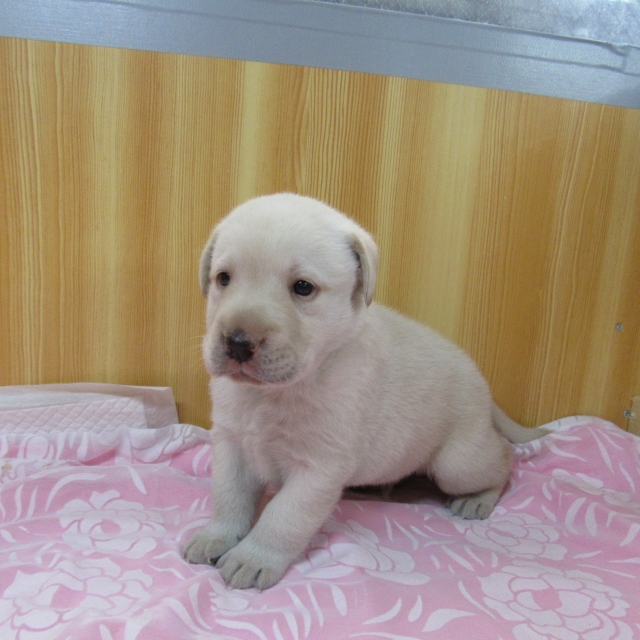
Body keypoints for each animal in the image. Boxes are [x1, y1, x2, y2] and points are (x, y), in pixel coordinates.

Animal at [183, 193, 547, 590]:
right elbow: (228, 497)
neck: (273, 394)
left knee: (502, 460)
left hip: (458, 461)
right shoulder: (231, 443)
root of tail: (480, 380)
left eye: (303, 287)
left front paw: (253, 557)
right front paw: (215, 537)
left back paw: (478, 498)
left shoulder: (319, 466)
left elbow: (284, 516)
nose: (237, 343)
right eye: (223, 278)